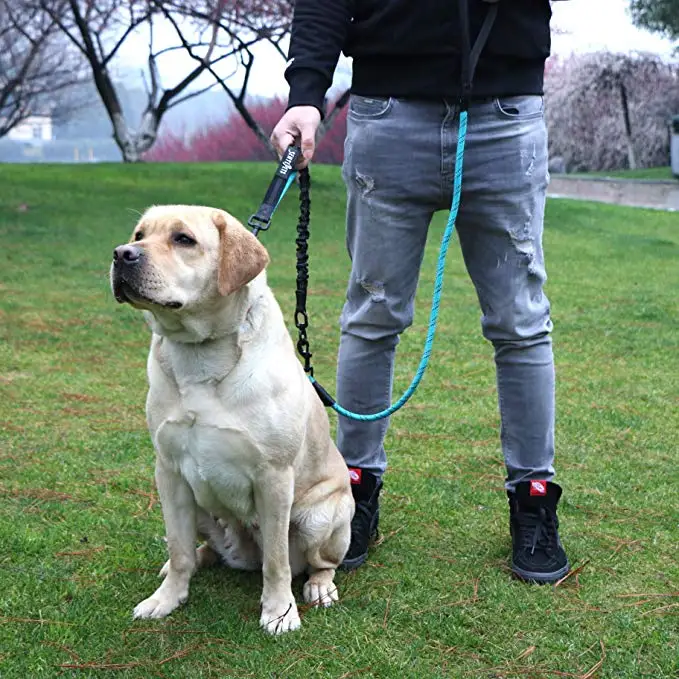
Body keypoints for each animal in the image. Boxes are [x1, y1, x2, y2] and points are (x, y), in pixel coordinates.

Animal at [109, 205, 354, 636]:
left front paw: (279, 612)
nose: (122, 254)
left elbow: (277, 561)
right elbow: (178, 546)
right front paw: (166, 599)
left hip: (320, 515)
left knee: (317, 562)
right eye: (139, 235)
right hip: (199, 507)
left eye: (183, 239)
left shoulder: (274, 477)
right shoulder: (168, 471)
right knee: (198, 548)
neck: (199, 353)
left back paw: (320, 587)